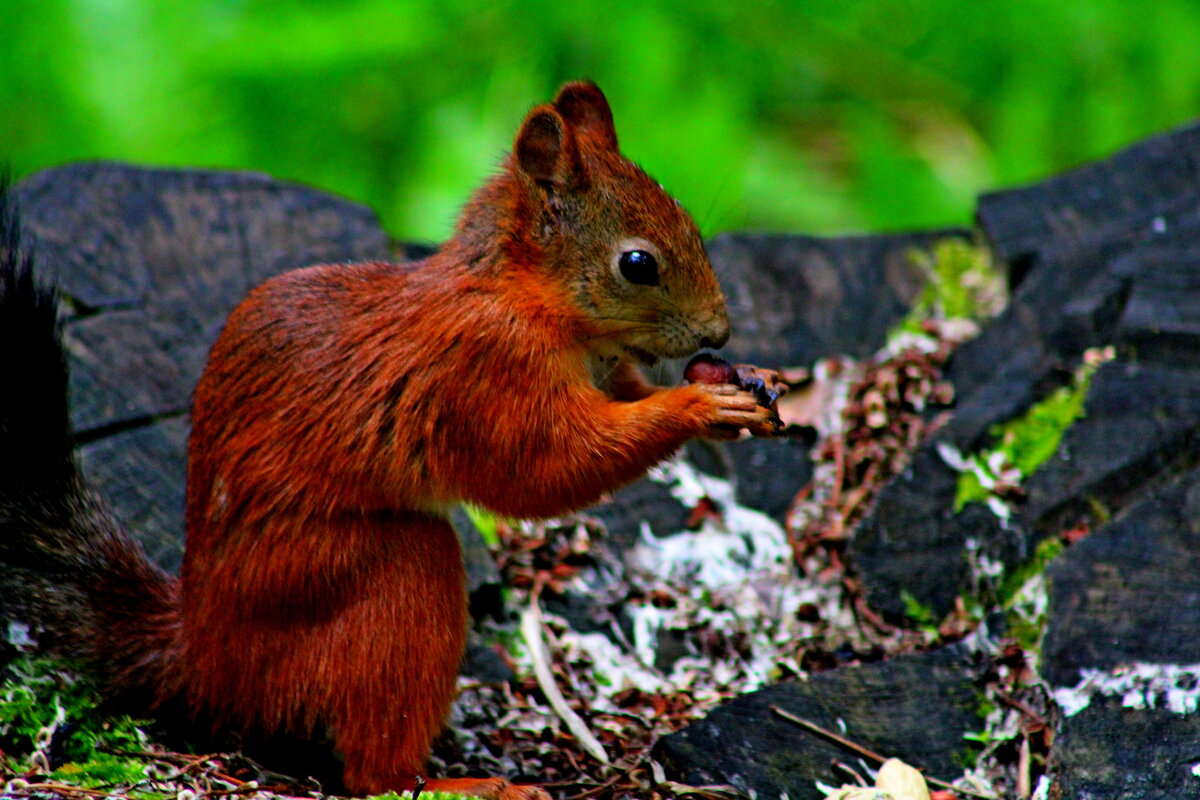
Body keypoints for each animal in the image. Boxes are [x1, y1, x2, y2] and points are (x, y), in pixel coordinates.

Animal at [0, 84, 777, 796]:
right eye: (638, 265)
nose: (719, 332)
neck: (523, 293)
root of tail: (202, 653)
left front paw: (753, 382)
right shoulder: (486, 374)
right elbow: (545, 470)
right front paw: (698, 403)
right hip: (366, 579)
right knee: (375, 766)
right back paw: (459, 784)